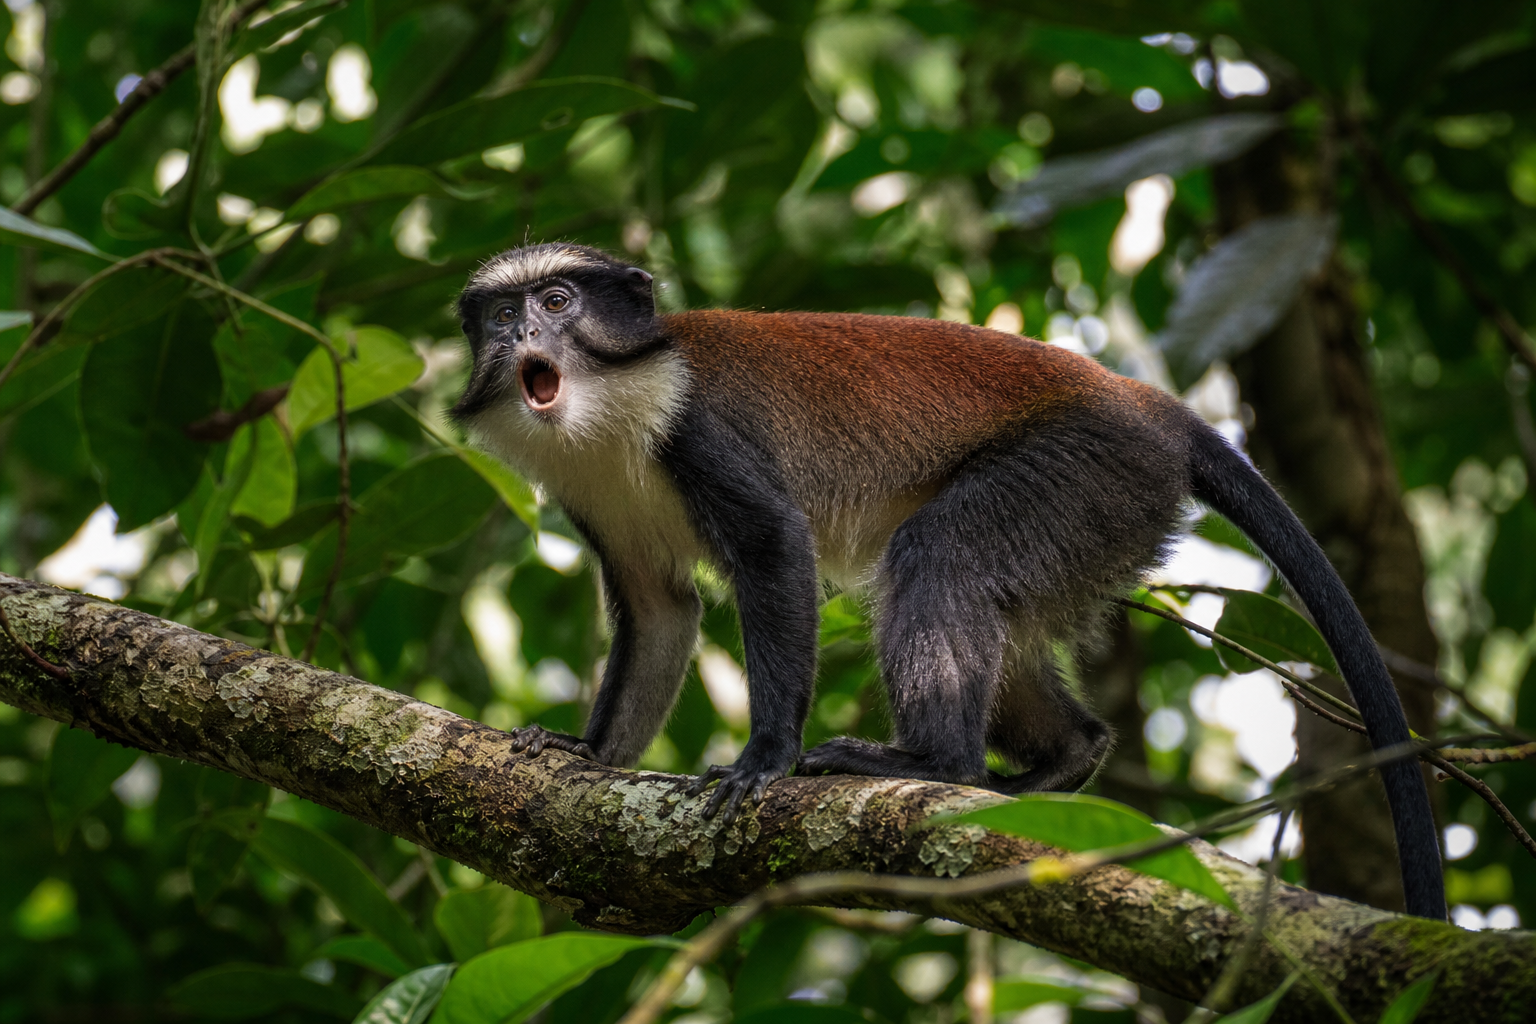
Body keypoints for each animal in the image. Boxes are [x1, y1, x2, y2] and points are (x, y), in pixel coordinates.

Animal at [450, 242, 1445, 920]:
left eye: (557, 299)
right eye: (502, 320)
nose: (526, 334)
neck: (611, 412)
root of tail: (1148, 407)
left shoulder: (697, 429)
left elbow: (774, 550)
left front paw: (765, 756)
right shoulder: (593, 498)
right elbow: (662, 611)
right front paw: (588, 752)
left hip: (1088, 472)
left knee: (938, 558)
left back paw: (935, 762)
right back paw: (1064, 754)